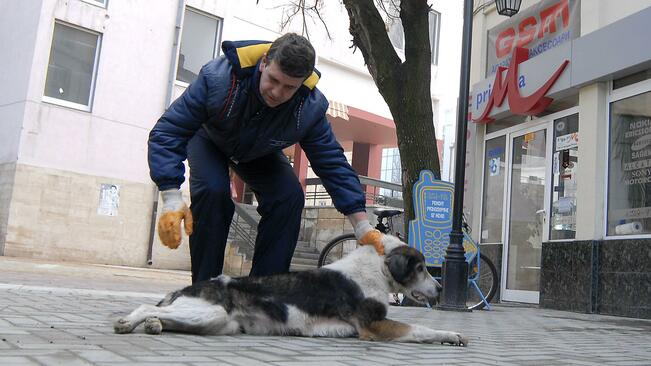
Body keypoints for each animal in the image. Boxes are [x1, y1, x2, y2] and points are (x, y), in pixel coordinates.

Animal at [113, 234, 468, 346]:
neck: (377, 271)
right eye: (420, 269)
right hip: (209, 312)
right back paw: (130, 322)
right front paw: (452, 335)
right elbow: (422, 329)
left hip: (218, 323)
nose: (439, 288)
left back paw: (155, 325)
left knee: (166, 316)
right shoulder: (374, 326)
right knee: (147, 307)